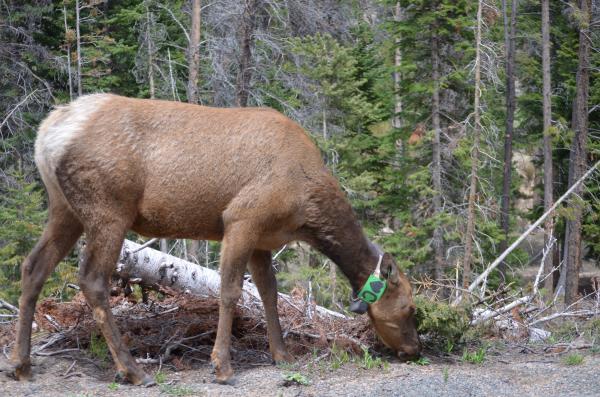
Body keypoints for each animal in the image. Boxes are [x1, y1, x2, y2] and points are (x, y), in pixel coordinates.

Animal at [10, 93, 422, 384]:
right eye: (409, 308)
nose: (415, 349)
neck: (307, 207)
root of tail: (46, 135)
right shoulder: (241, 218)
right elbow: (230, 292)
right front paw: (221, 365)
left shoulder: (264, 238)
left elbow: (269, 293)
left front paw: (281, 354)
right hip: (108, 209)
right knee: (93, 280)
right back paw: (133, 370)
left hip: (64, 209)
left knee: (33, 267)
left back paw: (21, 363)